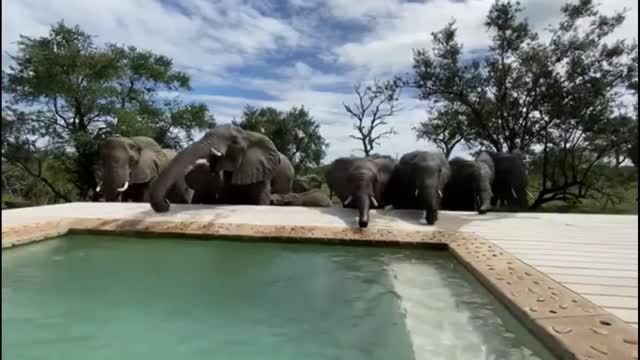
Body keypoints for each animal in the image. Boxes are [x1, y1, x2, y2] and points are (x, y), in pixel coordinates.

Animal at [149, 125, 292, 212]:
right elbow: (226, 198)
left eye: (234, 141)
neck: (248, 134)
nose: (166, 204)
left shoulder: (262, 170)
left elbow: (261, 201)